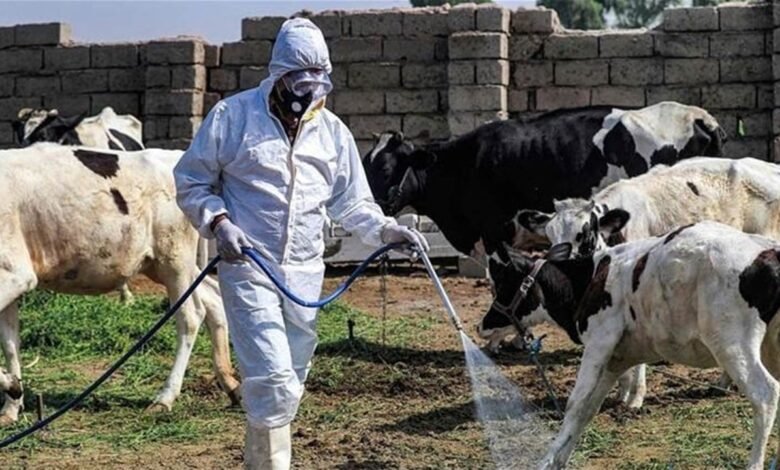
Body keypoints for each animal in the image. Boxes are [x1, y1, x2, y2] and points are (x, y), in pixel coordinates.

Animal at [0, 143, 240, 426]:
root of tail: (176, 157)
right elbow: (10, 344)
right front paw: (12, 405)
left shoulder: (16, 274)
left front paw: (11, 386)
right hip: (163, 265)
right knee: (213, 301)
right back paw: (230, 384)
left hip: (175, 258)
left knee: (190, 316)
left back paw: (165, 397)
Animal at [485, 222, 780, 470]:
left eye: (501, 283)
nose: (483, 324)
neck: (592, 278)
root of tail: (768, 251)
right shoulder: (618, 358)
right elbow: (588, 409)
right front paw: (560, 460)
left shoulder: (599, 341)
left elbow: (575, 404)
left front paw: (546, 460)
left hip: (732, 344)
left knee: (765, 394)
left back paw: (754, 464)